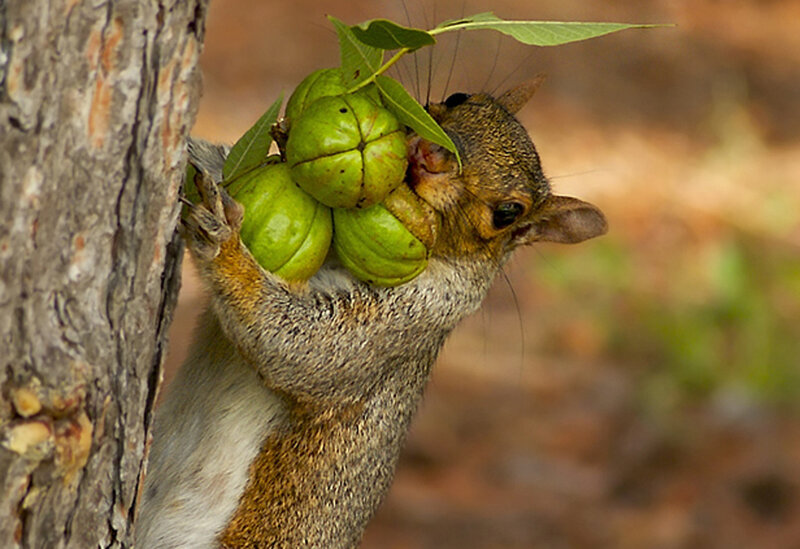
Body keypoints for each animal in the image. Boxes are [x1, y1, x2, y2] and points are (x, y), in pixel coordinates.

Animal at [135, 80, 608, 548]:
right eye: (460, 98)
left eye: (508, 213)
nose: (436, 153)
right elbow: (216, 166)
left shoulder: (412, 316)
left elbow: (304, 347)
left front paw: (225, 246)